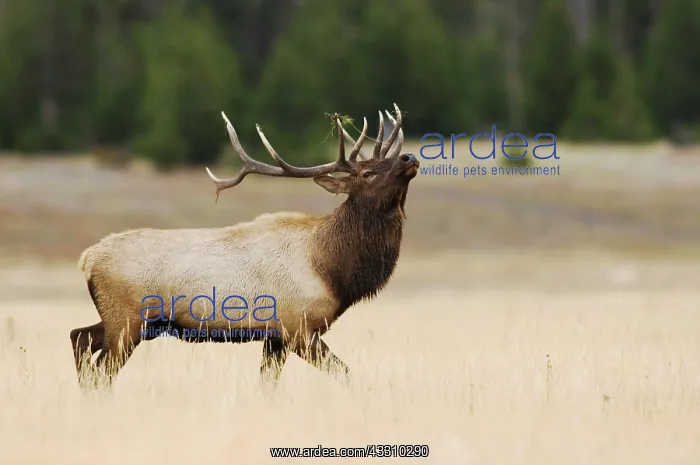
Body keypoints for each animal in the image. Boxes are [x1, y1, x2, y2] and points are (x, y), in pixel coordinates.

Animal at [69, 104, 418, 388]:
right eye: (367, 172)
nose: (410, 157)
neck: (331, 270)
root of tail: (87, 259)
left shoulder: (275, 336)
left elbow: (267, 383)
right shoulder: (297, 327)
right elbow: (345, 373)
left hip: (126, 321)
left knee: (79, 337)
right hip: (127, 319)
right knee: (101, 370)